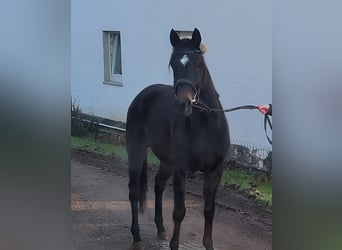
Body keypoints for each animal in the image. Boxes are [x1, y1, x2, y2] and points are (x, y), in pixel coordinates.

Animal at [126, 28, 230, 249]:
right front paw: (174, 244)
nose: (183, 104)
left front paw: (208, 244)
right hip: (136, 152)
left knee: (158, 185)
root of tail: (141, 96)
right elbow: (179, 212)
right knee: (134, 192)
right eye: (173, 64)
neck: (205, 126)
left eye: (198, 64)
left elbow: (209, 211)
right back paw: (137, 237)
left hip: (167, 162)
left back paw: (161, 229)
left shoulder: (215, 172)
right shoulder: (181, 170)